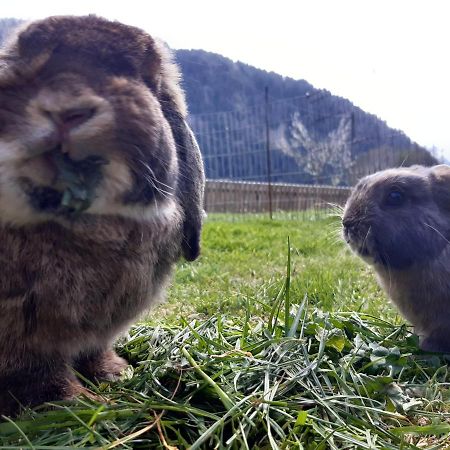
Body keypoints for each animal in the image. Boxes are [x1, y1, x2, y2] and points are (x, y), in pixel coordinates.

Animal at [0, 14, 205, 414]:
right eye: (28, 69)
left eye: (136, 75)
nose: (66, 109)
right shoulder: (27, 332)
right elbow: (39, 372)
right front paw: (75, 400)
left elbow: (93, 351)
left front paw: (116, 374)